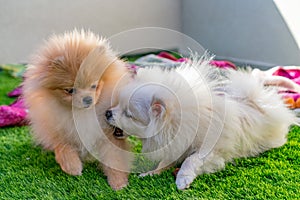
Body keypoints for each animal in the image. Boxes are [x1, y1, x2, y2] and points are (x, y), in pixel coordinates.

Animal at [21, 29, 132, 189]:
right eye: (70, 90)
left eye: (94, 86)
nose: (87, 99)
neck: (81, 114)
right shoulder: (60, 129)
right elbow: (64, 148)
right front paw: (72, 167)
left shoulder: (109, 134)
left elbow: (114, 158)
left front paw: (118, 183)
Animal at [105, 55, 296, 189]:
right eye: (117, 105)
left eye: (128, 114)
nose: (107, 112)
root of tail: (254, 102)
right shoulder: (176, 144)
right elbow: (165, 161)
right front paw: (151, 173)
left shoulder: (210, 150)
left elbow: (191, 160)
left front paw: (183, 178)